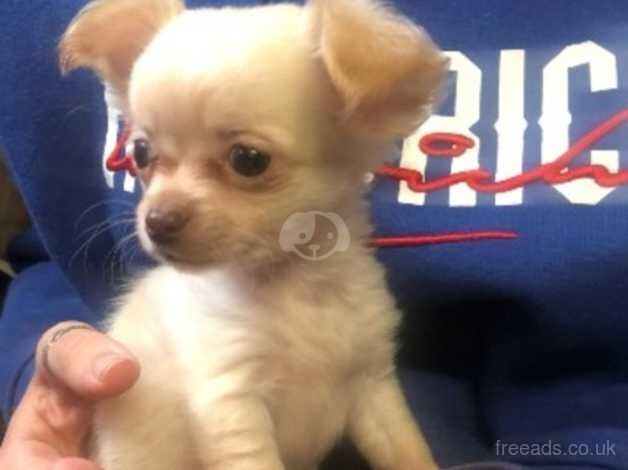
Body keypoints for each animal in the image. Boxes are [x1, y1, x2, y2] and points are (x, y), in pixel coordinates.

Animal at [60, 0, 446, 470]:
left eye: (248, 159)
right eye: (140, 153)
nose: (157, 220)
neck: (295, 285)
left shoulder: (372, 385)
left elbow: (410, 452)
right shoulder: (232, 401)